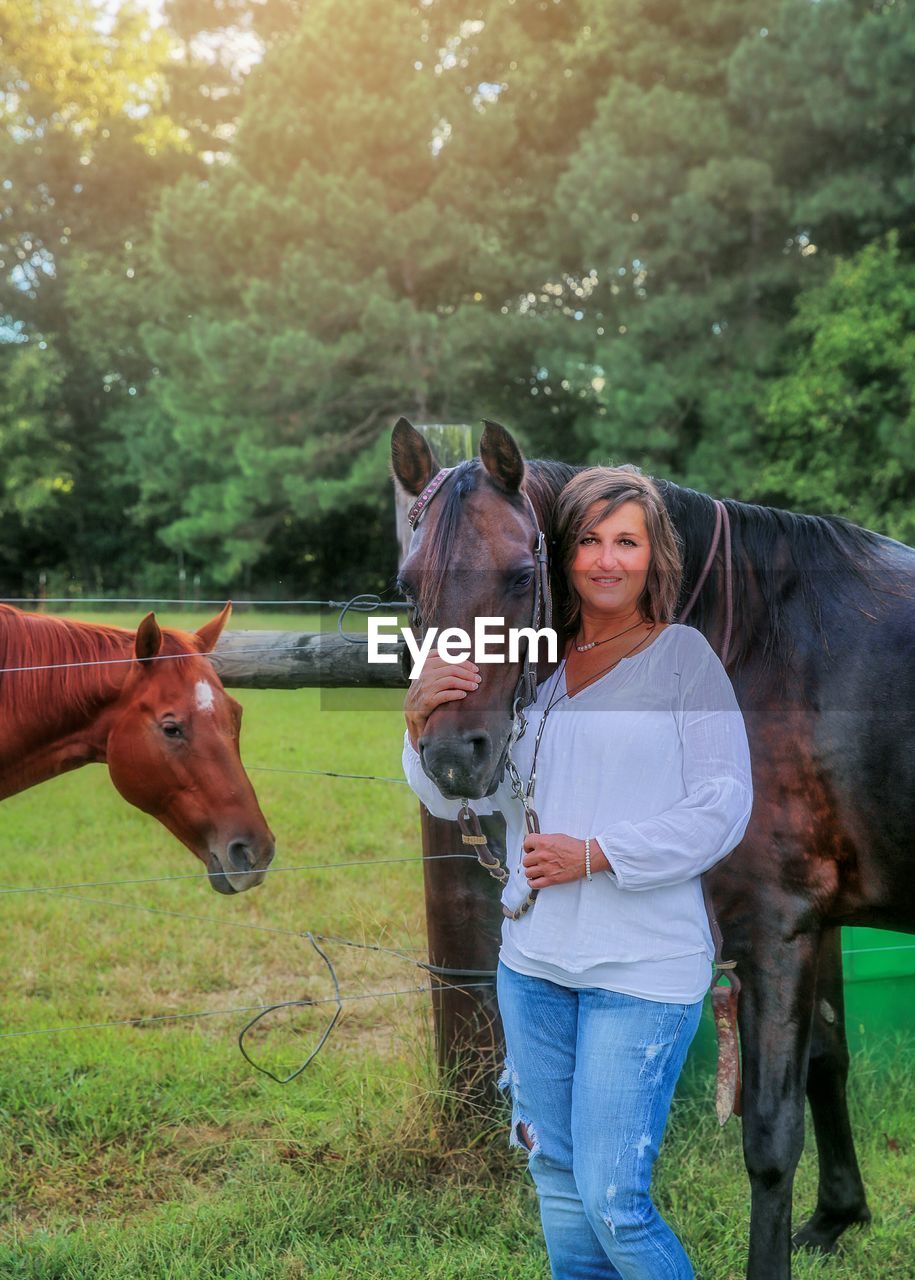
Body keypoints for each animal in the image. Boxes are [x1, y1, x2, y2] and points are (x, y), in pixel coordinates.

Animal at [394, 419, 915, 1280]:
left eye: (517, 575)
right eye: (407, 586)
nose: (450, 758)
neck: (760, 643)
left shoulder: (776, 928)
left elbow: (769, 1136)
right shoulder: (819, 921)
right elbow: (825, 1064)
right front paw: (836, 1216)